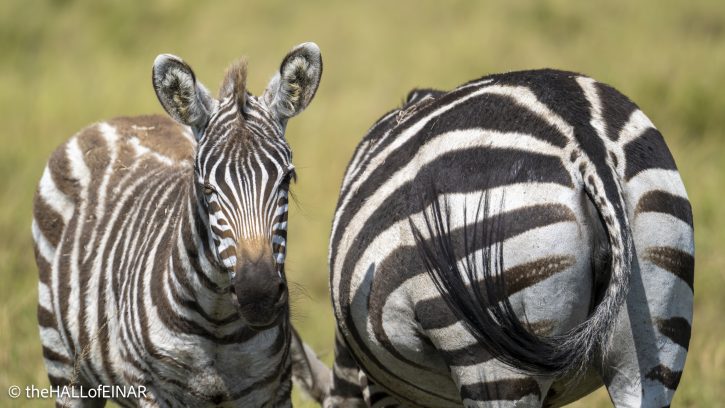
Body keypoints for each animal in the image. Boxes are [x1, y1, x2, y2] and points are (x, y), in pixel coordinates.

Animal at [31, 42, 322, 407]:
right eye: (206, 187)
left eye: (287, 179)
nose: (260, 295)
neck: (218, 321)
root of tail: (122, 119)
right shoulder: (149, 391)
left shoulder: (273, 390)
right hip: (64, 364)